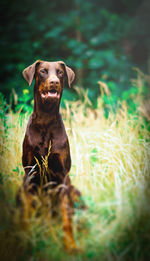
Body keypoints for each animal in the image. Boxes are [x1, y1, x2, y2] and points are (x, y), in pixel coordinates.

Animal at [20, 60, 82, 251]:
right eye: (43, 71)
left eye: (60, 72)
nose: (54, 81)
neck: (46, 121)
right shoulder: (30, 174)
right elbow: (27, 211)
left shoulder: (62, 177)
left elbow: (66, 217)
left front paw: (70, 244)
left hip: (74, 190)